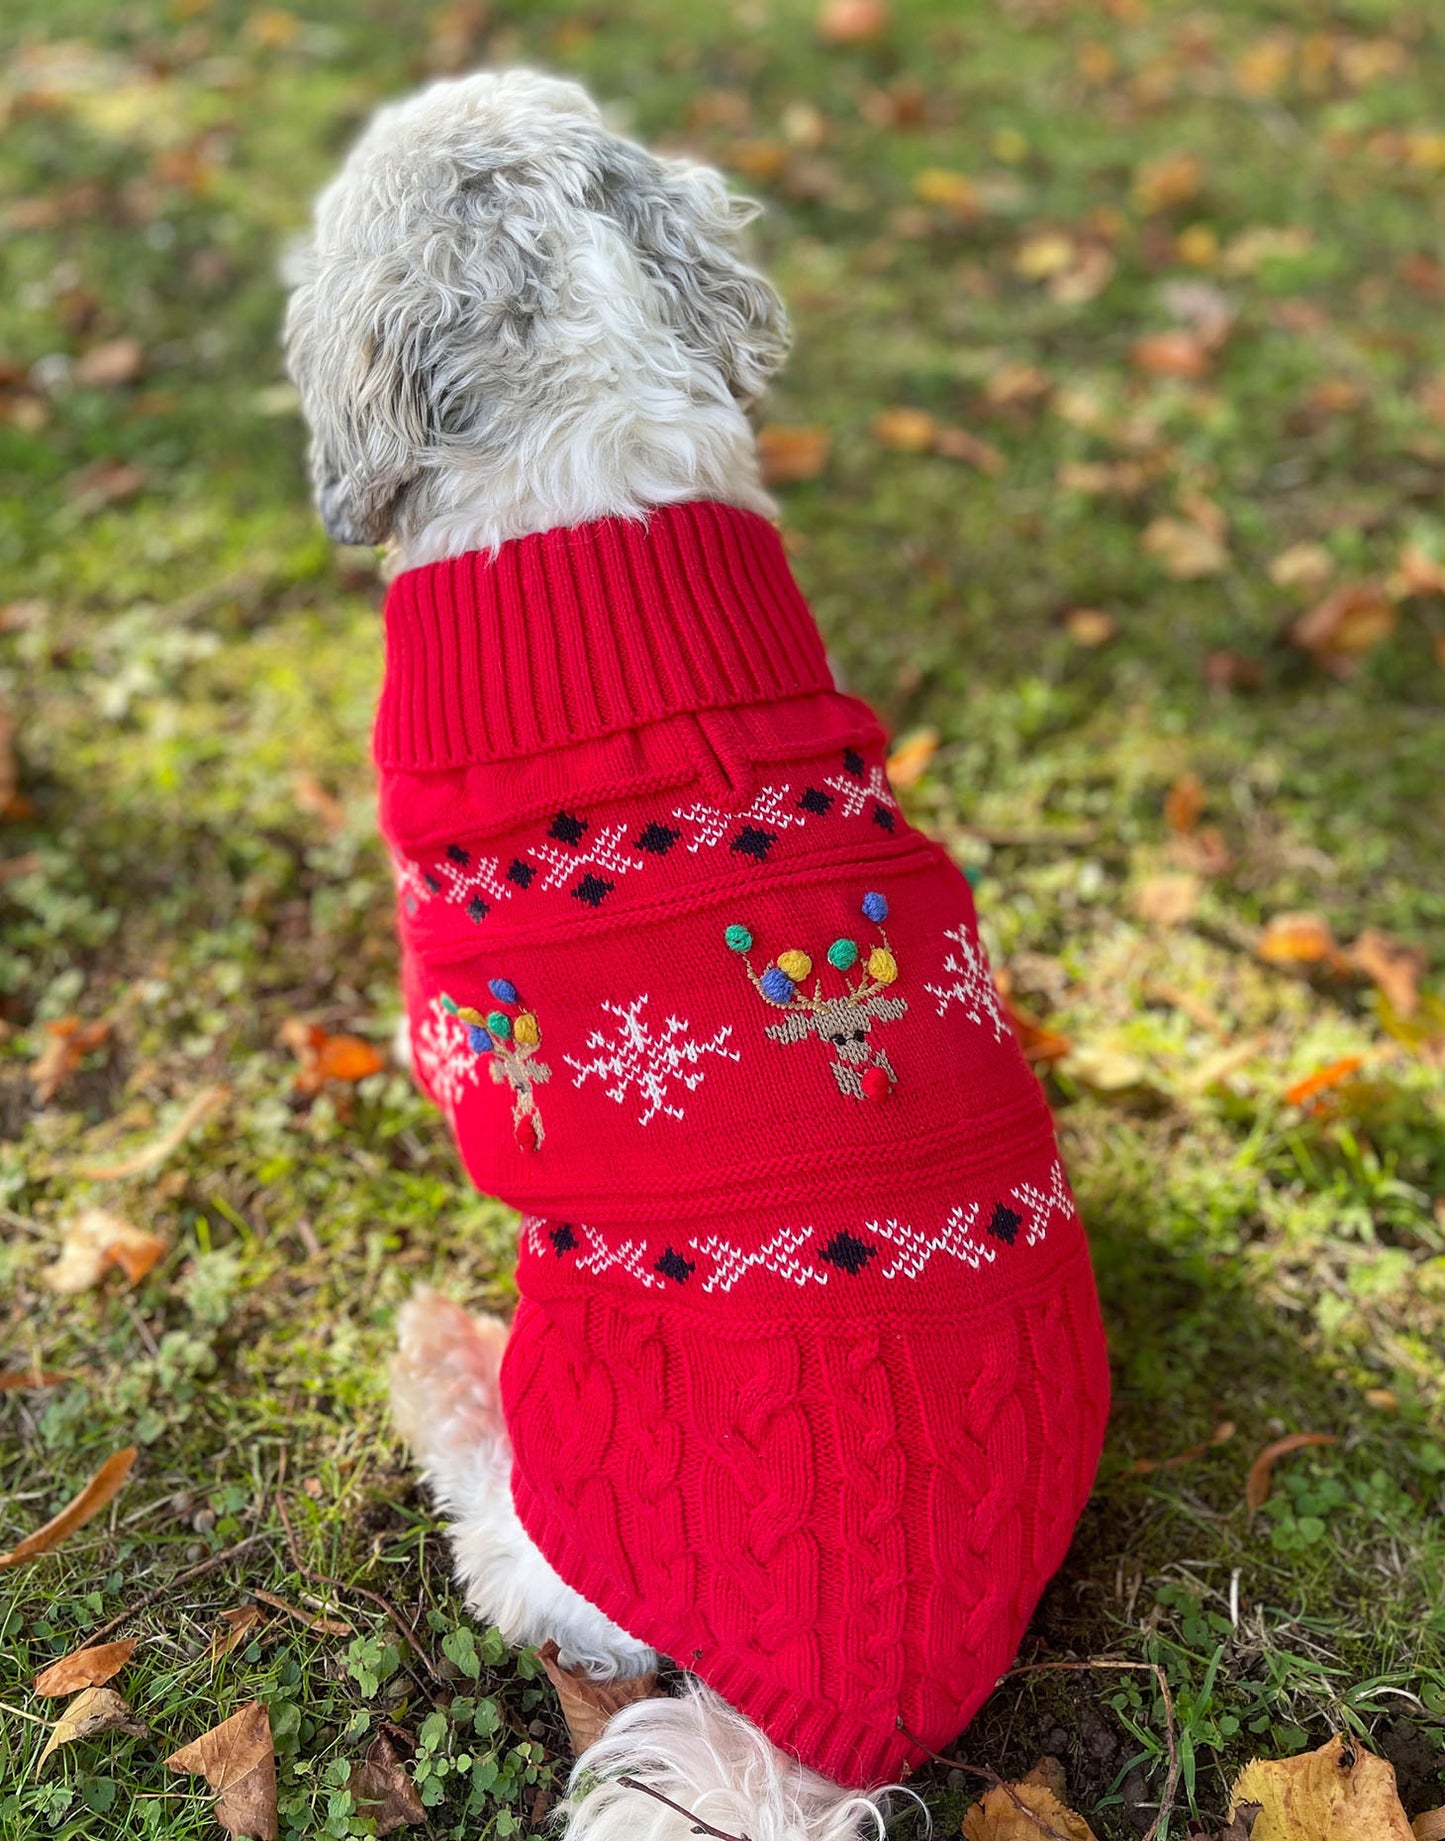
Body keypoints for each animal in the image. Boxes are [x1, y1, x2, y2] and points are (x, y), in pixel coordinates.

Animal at [287, 68, 1111, 1841]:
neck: (580, 463)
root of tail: (820, 1740)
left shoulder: (442, 1011)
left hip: (552, 1480)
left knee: (511, 1552)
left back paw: (439, 1364)